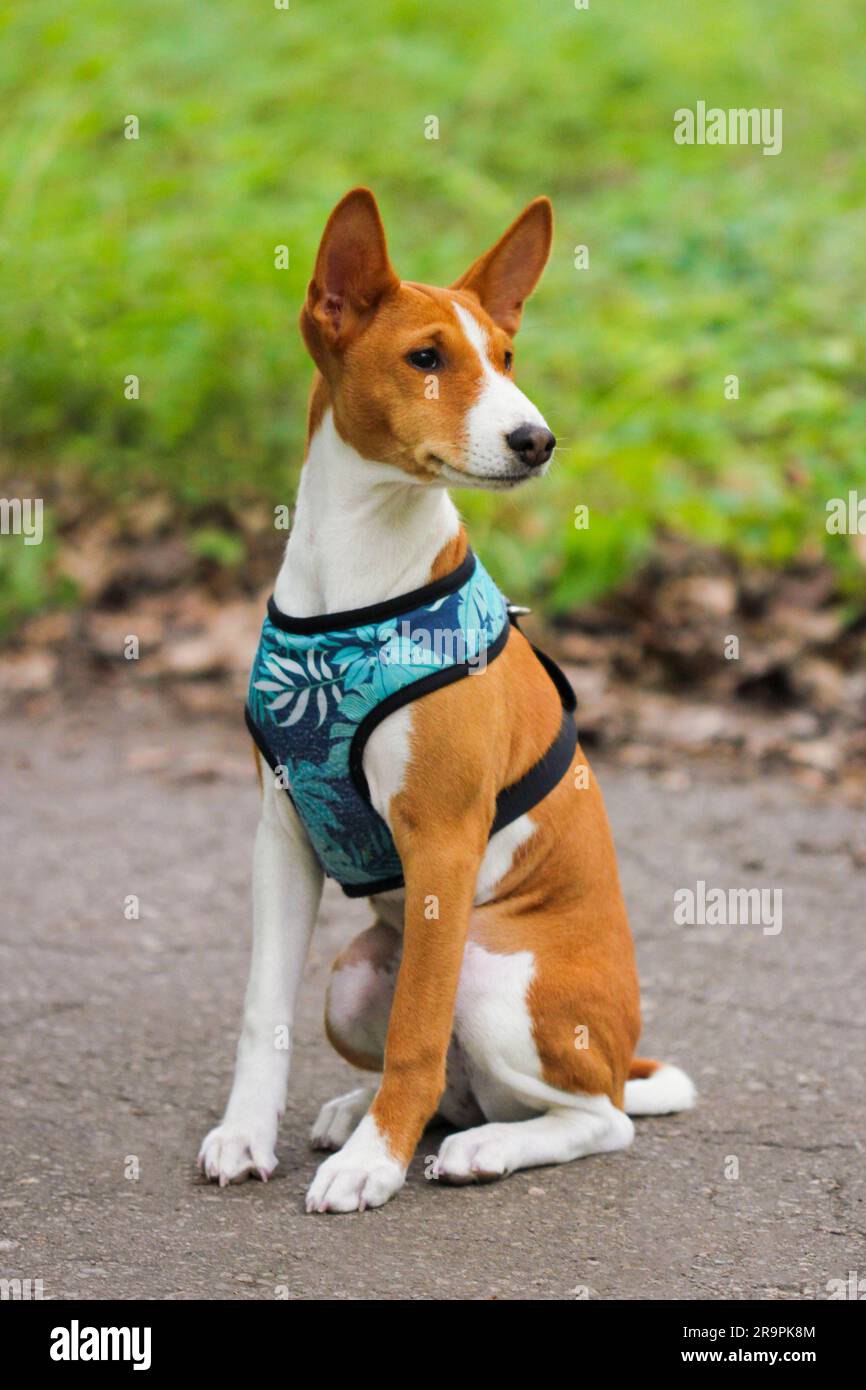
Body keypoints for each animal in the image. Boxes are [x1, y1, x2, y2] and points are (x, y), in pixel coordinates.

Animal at [198, 190, 697, 1212]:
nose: (536, 440)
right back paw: (366, 1113)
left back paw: (477, 1148)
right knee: (460, 1086)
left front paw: (374, 1168)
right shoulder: (282, 835)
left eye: (506, 358)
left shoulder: (443, 838)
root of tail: (620, 1051)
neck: (354, 583)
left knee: (595, 1117)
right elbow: (263, 1012)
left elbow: (418, 1033)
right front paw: (246, 1135)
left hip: (493, 978)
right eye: (427, 358)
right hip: (354, 978)